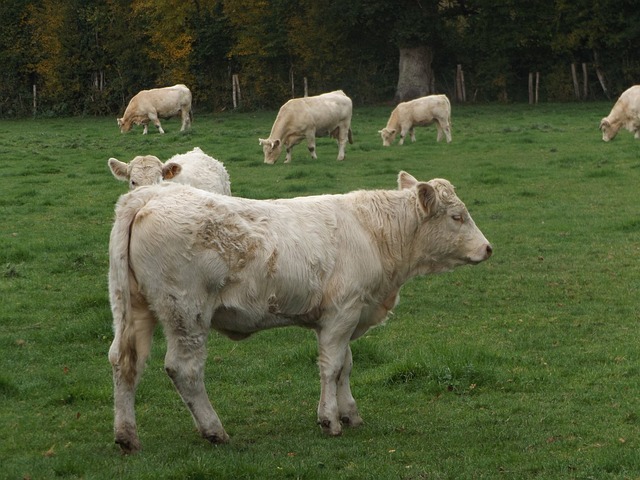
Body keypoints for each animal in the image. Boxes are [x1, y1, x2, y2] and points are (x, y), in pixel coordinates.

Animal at [108, 171, 492, 453]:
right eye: (457, 216)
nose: (488, 248)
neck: (374, 234)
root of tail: (151, 195)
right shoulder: (343, 311)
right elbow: (332, 367)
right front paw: (330, 420)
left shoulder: (346, 315)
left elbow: (346, 366)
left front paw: (350, 413)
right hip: (186, 311)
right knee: (184, 369)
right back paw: (214, 430)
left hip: (132, 309)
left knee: (125, 361)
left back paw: (127, 436)